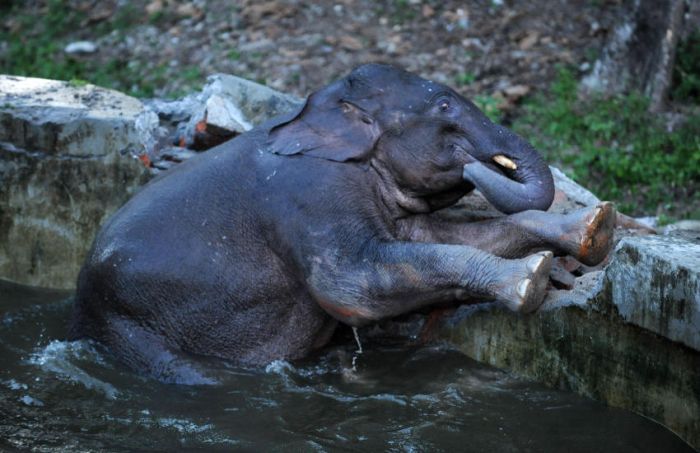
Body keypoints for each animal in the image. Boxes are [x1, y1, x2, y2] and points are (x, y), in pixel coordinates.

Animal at [69, 62, 612, 382]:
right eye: (444, 106)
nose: (475, 164)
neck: (317, 112)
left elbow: (437, 237)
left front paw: (596, 226)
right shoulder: (308, 198)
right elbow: (352, 285)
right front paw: (532, 278)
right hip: (138, 331)